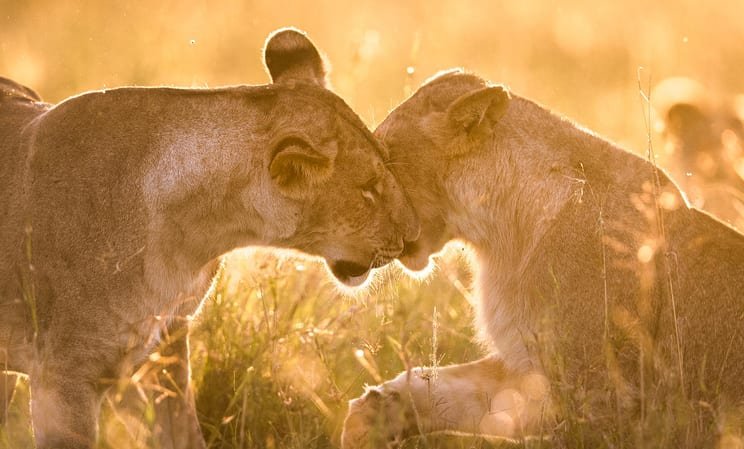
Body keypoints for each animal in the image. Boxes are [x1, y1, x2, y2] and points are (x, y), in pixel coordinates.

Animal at [0, 28, 419, 449]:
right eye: (368, 189)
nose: (413, 236)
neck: (192, 244)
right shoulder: (62, 379)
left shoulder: (165, 353)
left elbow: (185, 435)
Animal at [342, 70, 744, 448]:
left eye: (383, 159)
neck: (500, 239)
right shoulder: (524, 366)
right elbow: (444, 388)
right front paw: (370, 418)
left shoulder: (606, 399)